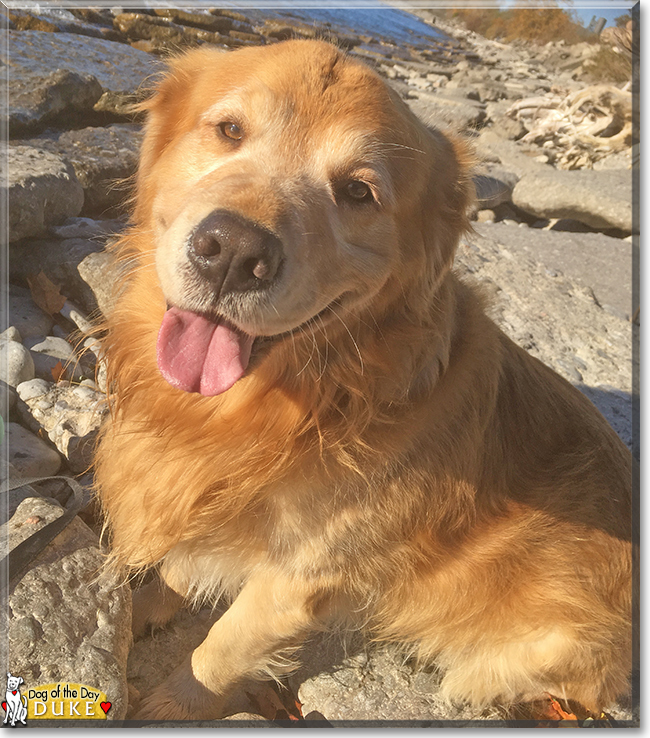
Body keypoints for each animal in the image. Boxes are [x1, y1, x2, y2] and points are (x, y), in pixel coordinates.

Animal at [93, 38, 632, 720]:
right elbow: (180, 569)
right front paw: (140, 612)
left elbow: (220, 650)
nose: (234, 252)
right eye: (229, 130)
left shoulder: (302, 578)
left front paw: (174, 704)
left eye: (357, 191)